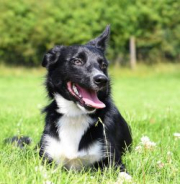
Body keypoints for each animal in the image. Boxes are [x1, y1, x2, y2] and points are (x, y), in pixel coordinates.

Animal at [39, 24, 132, 171]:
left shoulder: (114, 161)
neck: (75, 115)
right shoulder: (46, 158)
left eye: (103, 65)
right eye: (77, 61)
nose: (102, 80)